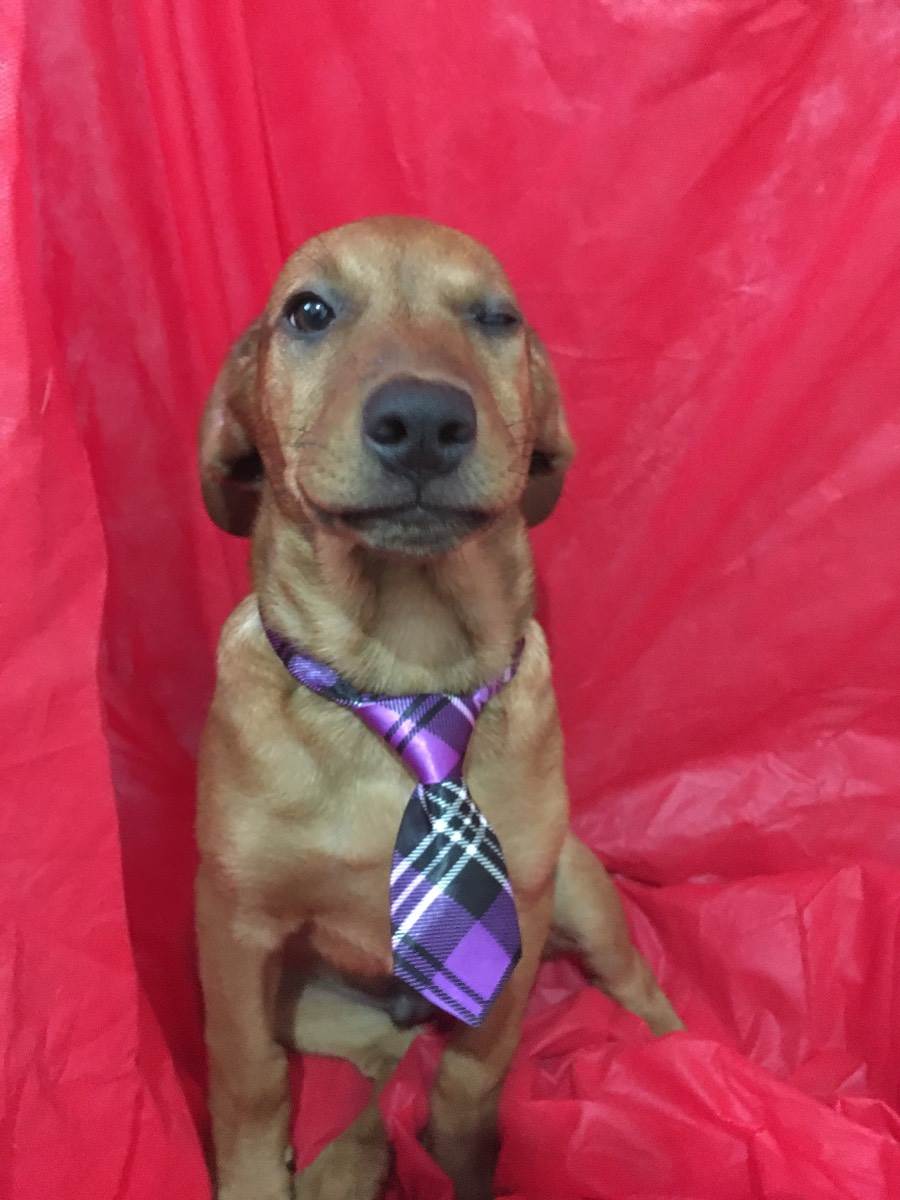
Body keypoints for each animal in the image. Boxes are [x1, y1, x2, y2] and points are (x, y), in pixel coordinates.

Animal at [196, 215, 681, 1200]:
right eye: (309, 311)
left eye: (496, 318)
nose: (423, 420)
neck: (405, 677)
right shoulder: (233, 929)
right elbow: (251, 1080)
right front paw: (261, 1179)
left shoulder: (519, 918)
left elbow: (469, 1081)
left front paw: (466, 1166)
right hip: (317, 1006)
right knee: (385, 1070)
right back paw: (349, 1156)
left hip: (579, 885)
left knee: (630, 982)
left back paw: (684, 1062)